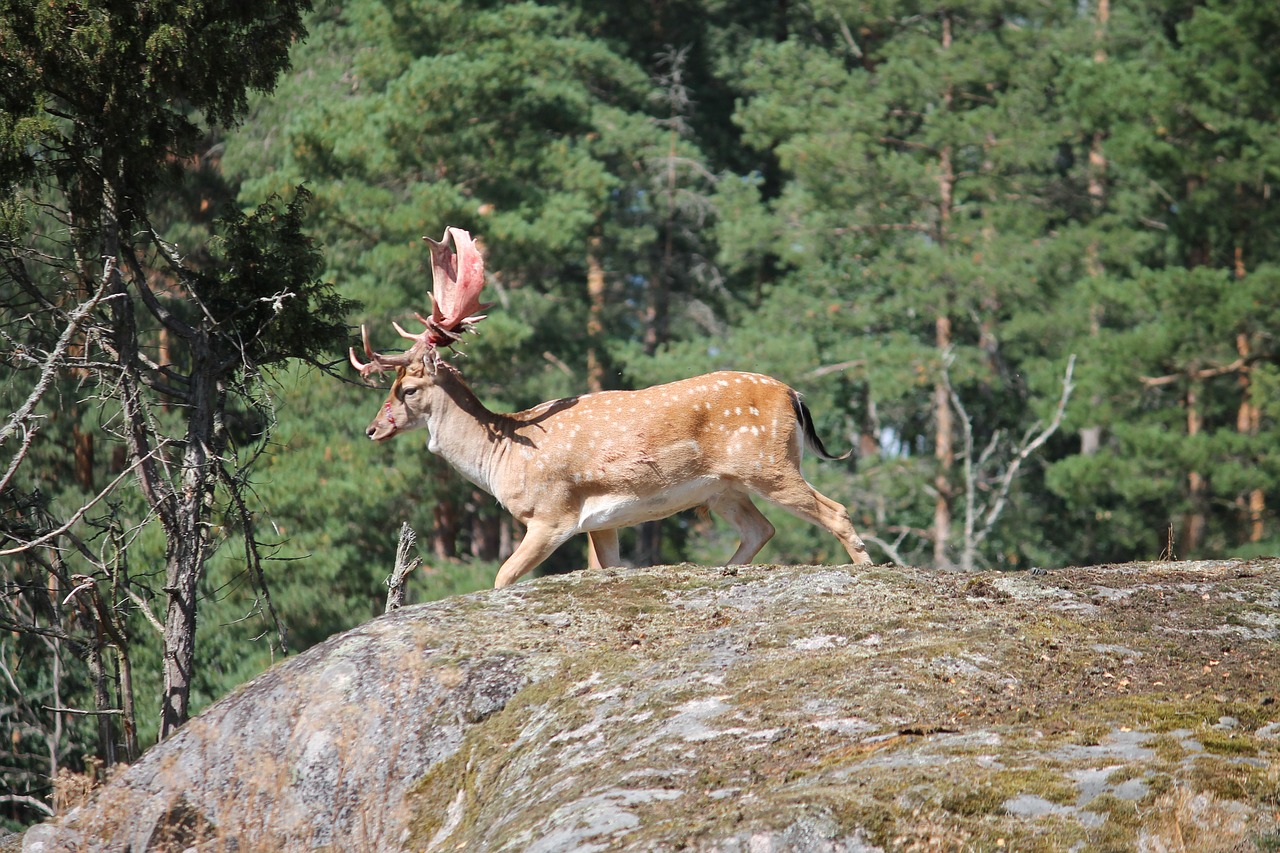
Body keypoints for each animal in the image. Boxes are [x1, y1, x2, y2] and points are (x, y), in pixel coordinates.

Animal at [348, 225, 870, 584]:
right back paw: (723, 571)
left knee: (836, 511)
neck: (503, 456)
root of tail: (794, 396)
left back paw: (867, 569)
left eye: (407, 389)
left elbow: (502, 577)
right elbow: (605, 568)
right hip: (724, 488)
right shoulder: (601, 522)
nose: (372, 429)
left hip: (768, 462)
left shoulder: (552, 513)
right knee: (761, 530)